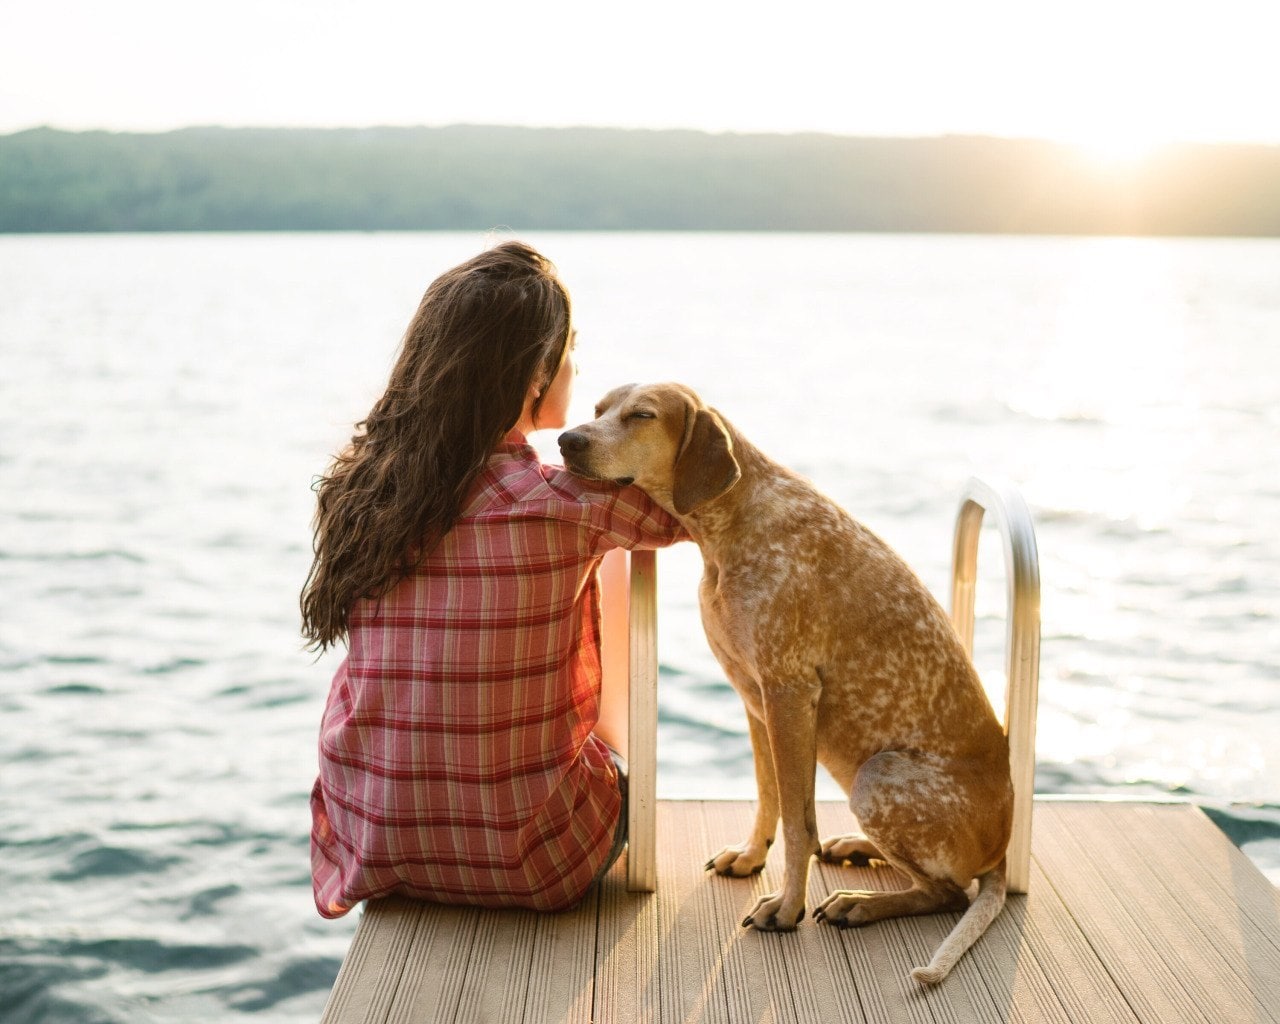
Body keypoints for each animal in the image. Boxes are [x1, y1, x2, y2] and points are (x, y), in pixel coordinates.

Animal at [558, 384, 1008, 983]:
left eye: (642, 415)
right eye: (597, 410)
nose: (566, 440)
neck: (735, 522)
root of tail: (1004, 847)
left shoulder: (789, 694)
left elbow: (798, 824)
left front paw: (788, 906)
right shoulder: (754, 697)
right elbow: (769, 794)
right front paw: (752, 857)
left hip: (878, 775)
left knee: (948, 893)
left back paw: (859, 904)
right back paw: (858, 848)